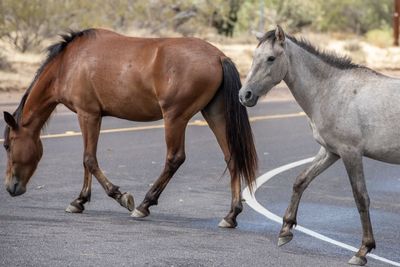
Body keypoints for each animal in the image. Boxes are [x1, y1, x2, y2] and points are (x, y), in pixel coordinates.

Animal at [2, 28, 256, 227]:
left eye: (7, 146)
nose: (11, 188)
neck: (69, 63)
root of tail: (219, 57)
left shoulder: (88, 115)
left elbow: (89, 159)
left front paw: (120, 197)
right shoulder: (90, 117)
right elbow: (86, 160)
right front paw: (80, 201)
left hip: (175, 118)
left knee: (175, 158)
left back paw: (144, 205)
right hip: (215, 115)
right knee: (231, 158)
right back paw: (231, 215)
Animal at [239, 25, 398, 266]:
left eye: (270, 58)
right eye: (254, 57)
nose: (244, 95)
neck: (331, 90)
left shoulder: (351, 153)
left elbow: (361, 197)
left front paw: (363, 250)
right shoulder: (330, 152)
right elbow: (301, 181)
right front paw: (286, 230)